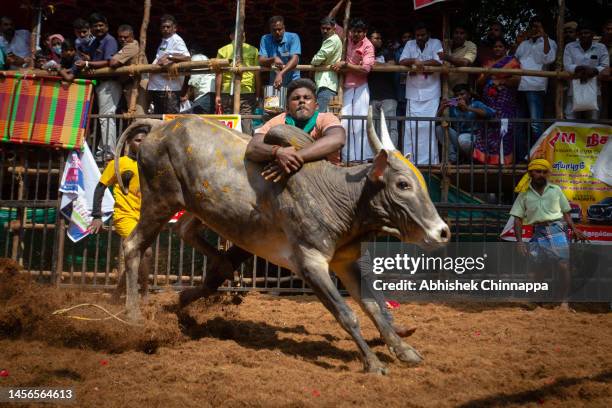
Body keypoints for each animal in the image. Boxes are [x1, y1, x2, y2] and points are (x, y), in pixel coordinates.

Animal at [115, 110, 450, 374]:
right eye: (403, 184)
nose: (442, 232)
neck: (341, 197)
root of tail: (160, 126)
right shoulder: (310, 263)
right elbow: (347, 314)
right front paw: (373, 364)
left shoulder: (346, 261)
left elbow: (372, 305)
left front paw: (403, 350)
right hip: (159, 202)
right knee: (133, 246)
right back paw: (133, 319)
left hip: (197, 206)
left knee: (186, 231)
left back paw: (209, 278)